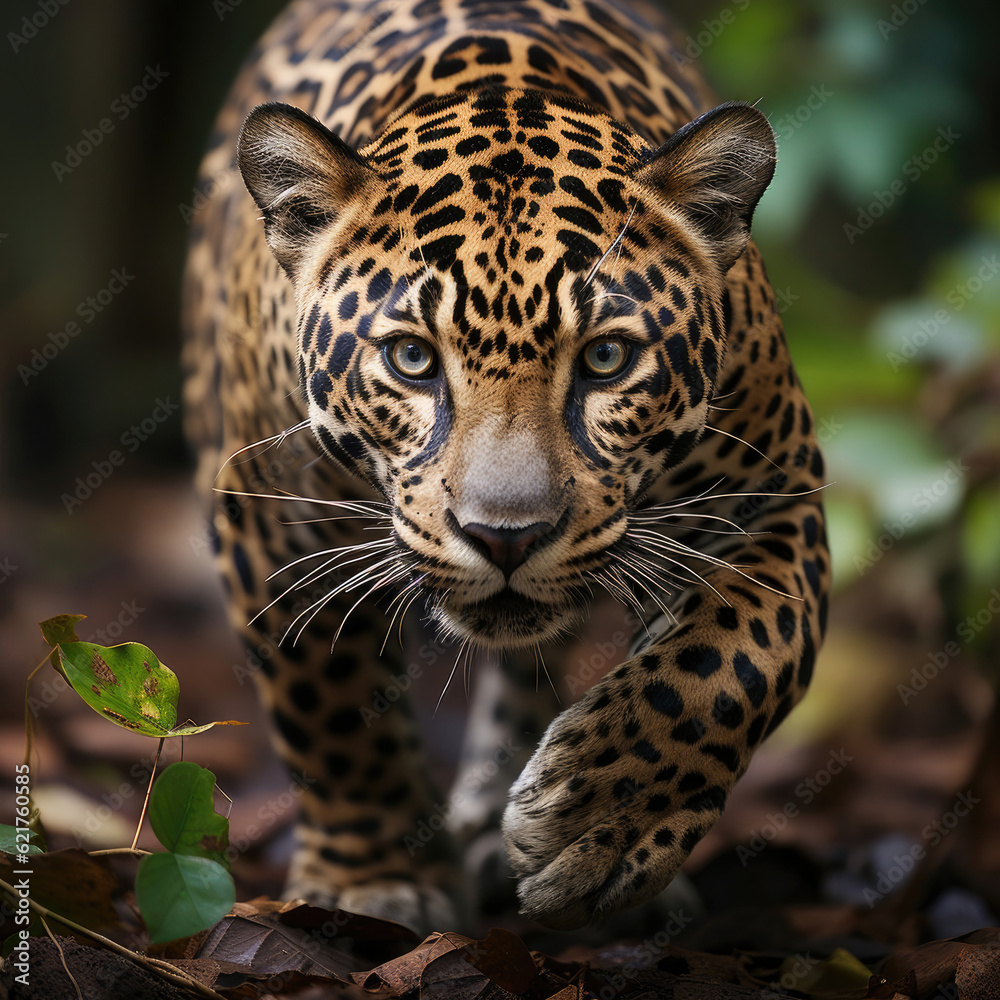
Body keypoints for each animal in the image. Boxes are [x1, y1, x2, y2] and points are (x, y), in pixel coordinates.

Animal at [182, 0, 830, 934]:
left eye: (605, 359)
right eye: (413, 359)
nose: (505, 538)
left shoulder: (774, 497)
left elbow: (737, 658)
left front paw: (597, 823)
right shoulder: (272, 527)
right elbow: (330, 704)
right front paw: (372, 879)